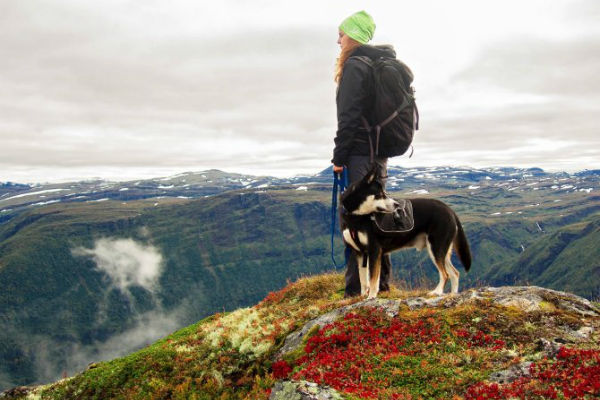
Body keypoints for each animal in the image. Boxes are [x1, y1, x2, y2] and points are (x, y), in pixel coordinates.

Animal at [340, 164, 472, 298]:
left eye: (384, 193)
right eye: (379, 194)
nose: (396, 204)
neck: (356, 217)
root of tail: (450, 210)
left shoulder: (374, 250)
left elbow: (373, 279)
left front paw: (371, 296)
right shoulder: (360, 253)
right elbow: (363, 279)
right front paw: (362, 297)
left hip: (436, 247)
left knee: (445, 274)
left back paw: (437, 291)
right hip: (441, 250)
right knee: (455, 273)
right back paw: (453, 294)